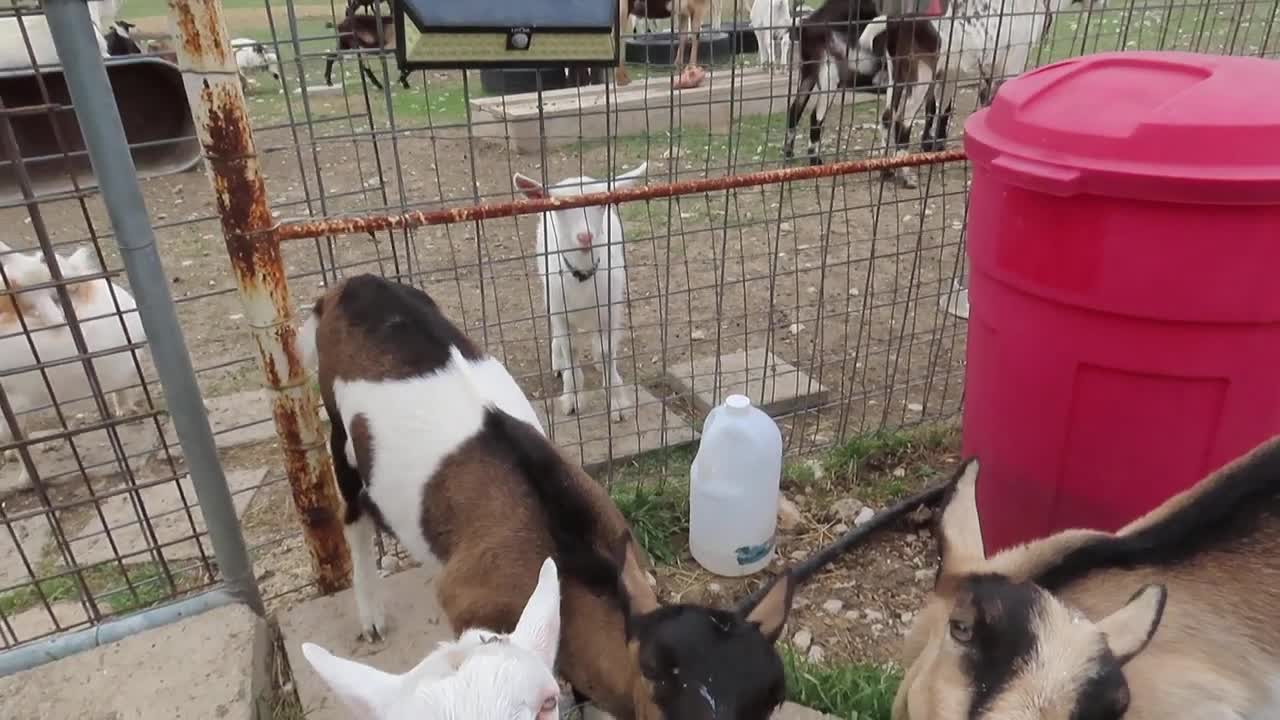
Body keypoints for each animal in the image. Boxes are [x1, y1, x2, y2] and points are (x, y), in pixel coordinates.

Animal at [512, 162, 645, 420]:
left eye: (601, 203)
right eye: (561, 206)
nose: (585, 237)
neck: (583, 277)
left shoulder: (610, 309)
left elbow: (605, 351)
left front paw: (617, 401)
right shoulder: (559, 308)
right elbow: (571, 348)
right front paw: (572, 399)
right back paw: (558, 362)